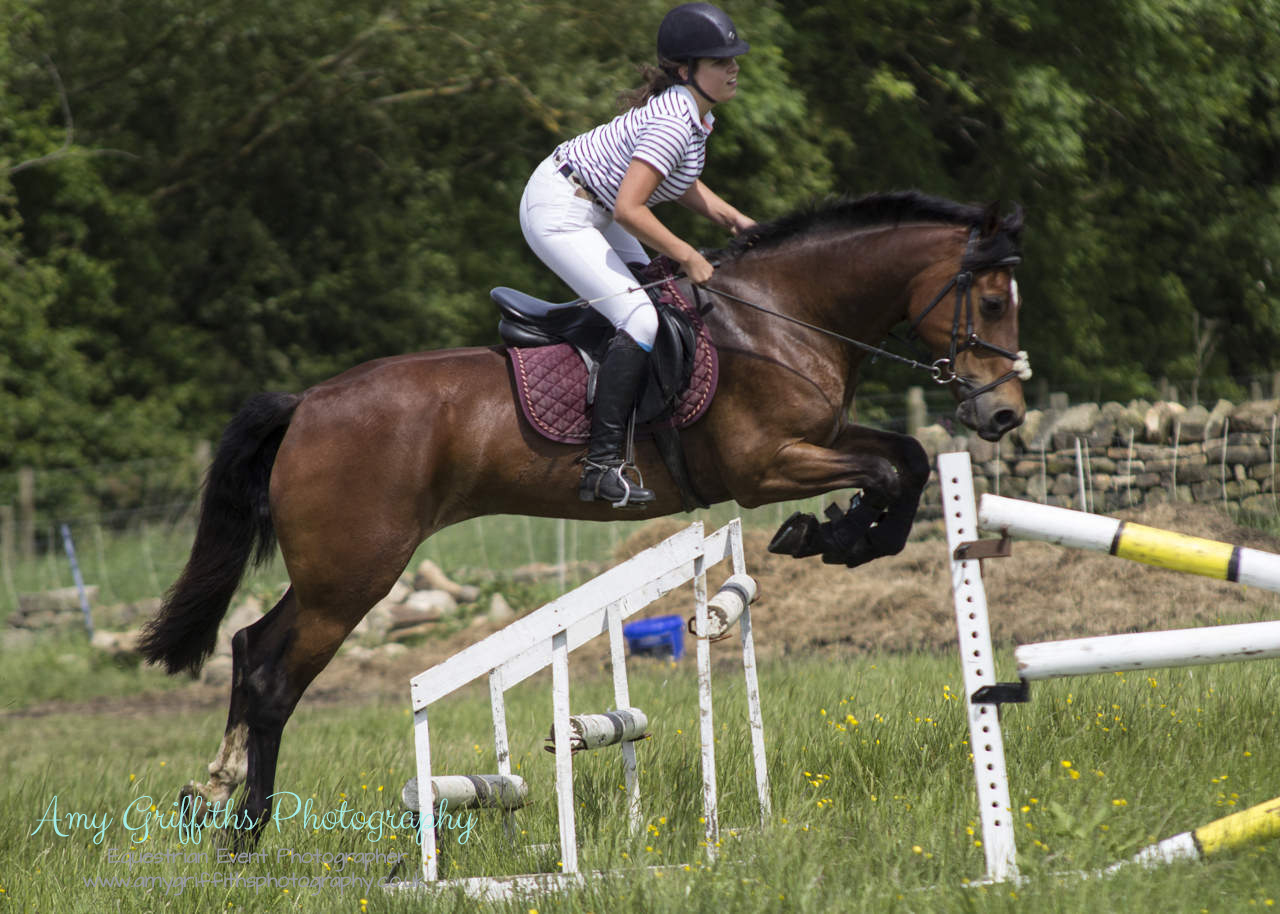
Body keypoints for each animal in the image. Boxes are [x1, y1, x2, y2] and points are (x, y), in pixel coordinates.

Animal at [137, 188, 1029, 844]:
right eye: (991, 302)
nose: (1004, 416)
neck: (777, 317)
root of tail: (307, 405)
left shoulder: (822, 436)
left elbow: (906, 458)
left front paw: (838, 533)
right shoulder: (766, 464)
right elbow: (888, 467)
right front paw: (830, 534)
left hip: (334, 572)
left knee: (251, 647)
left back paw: (209, 792)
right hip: (354, 574)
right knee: (273, 676)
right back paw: (246, 829)